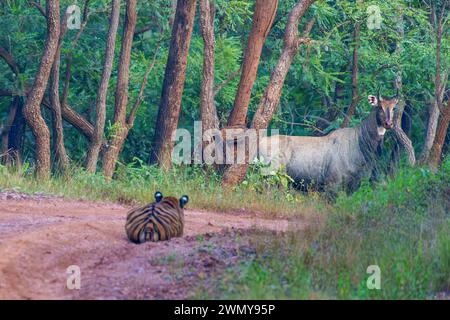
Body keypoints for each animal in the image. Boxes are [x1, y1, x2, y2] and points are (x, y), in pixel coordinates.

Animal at [258, 89, 400, 191]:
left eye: (393, 108)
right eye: (380, 107)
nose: (388, 123)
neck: (361, 143)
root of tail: (260, 143)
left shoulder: (354, 184)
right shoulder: (332, 182)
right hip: (271, 174)